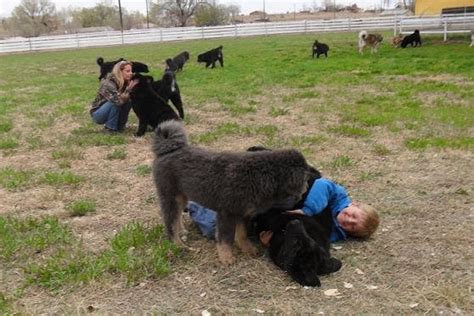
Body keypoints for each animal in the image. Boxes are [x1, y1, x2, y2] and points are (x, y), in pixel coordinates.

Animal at [150, 119, 310, 266]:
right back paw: (178, 244)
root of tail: (167, 150)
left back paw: (182, 231)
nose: (308, 186)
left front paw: (247, 249)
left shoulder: (243, 213)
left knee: (176, 216)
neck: (259, 176)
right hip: (170, 196)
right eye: (304, 178)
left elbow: (242, 234)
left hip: (182, 195)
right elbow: (225, 239)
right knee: (170, 223)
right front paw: (226, 258)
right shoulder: (227, 214)